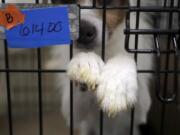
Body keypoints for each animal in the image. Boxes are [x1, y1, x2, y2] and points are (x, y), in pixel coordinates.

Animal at [47, 0, 158, 135]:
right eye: (67, 2)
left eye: (106, 2)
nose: (83, 29)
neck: (102, 52)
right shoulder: (71, 113)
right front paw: (86, 61)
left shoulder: (140, 113)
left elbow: (123, 56)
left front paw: (117, 84)